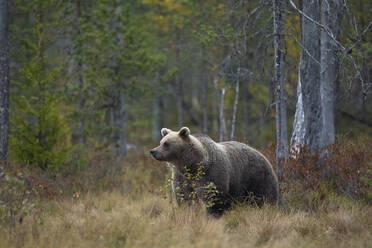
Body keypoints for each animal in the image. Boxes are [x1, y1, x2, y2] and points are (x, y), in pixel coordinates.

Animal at [150, 127, 278, 216]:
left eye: (166, 144)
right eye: (161, 142)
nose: (153, 151)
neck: (192, 164)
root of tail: (263, 155)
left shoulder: (211, 173)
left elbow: (214, 198)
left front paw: (212, 215)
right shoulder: (182, 177)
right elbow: (185, 196)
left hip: (257, 177)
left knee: (267, 197)